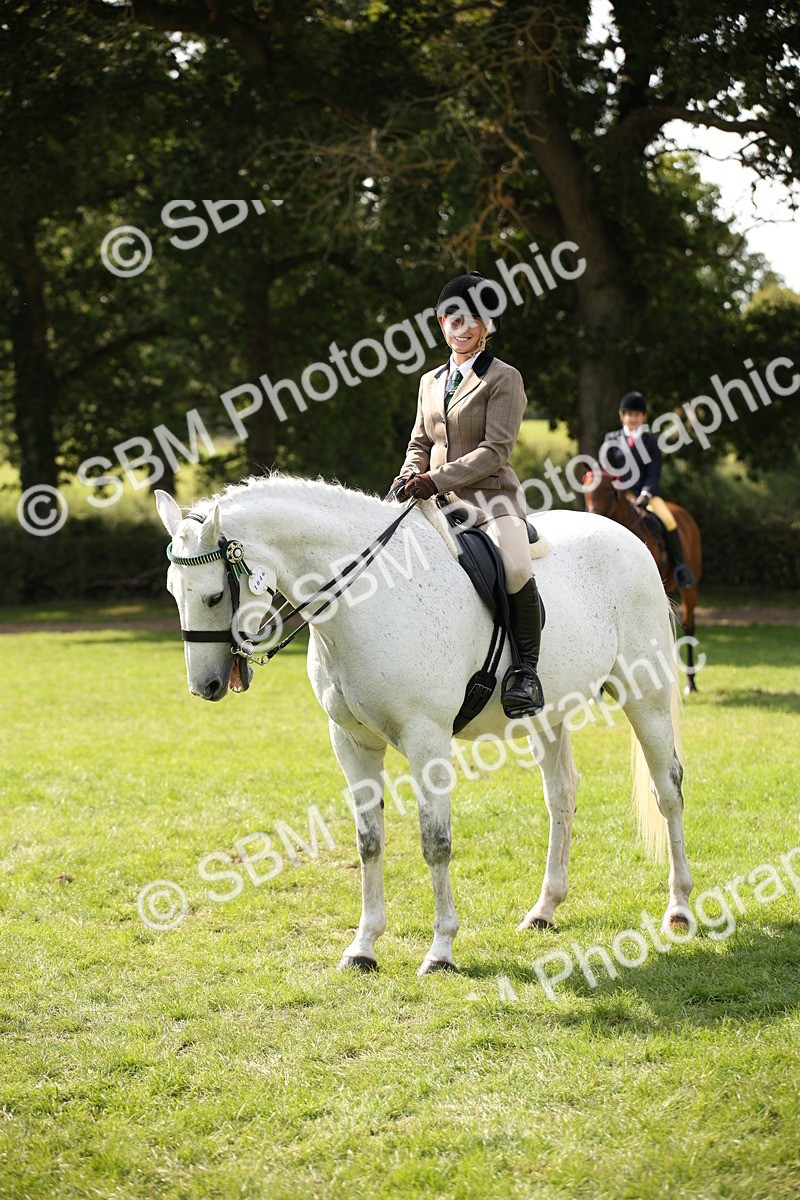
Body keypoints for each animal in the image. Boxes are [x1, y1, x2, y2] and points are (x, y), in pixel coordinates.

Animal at [583, 471, 703, 694]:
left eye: (607, 489)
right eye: (585, 489)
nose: (593, 514)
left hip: (689, 588)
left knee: (689, 626)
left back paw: (691, 682)